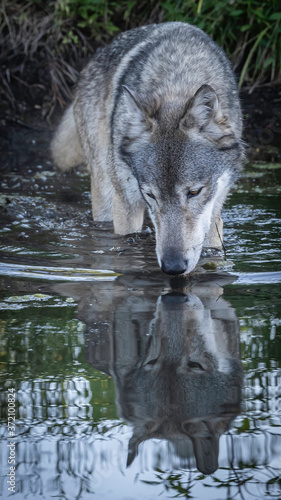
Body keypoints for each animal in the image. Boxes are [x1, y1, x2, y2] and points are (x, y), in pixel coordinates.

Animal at [51, 21, 244, 276]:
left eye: (194, 192)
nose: (173, 267)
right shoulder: (127, 204)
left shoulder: (215, 211)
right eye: (151, 194)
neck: (177, 82)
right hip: (104, 193)